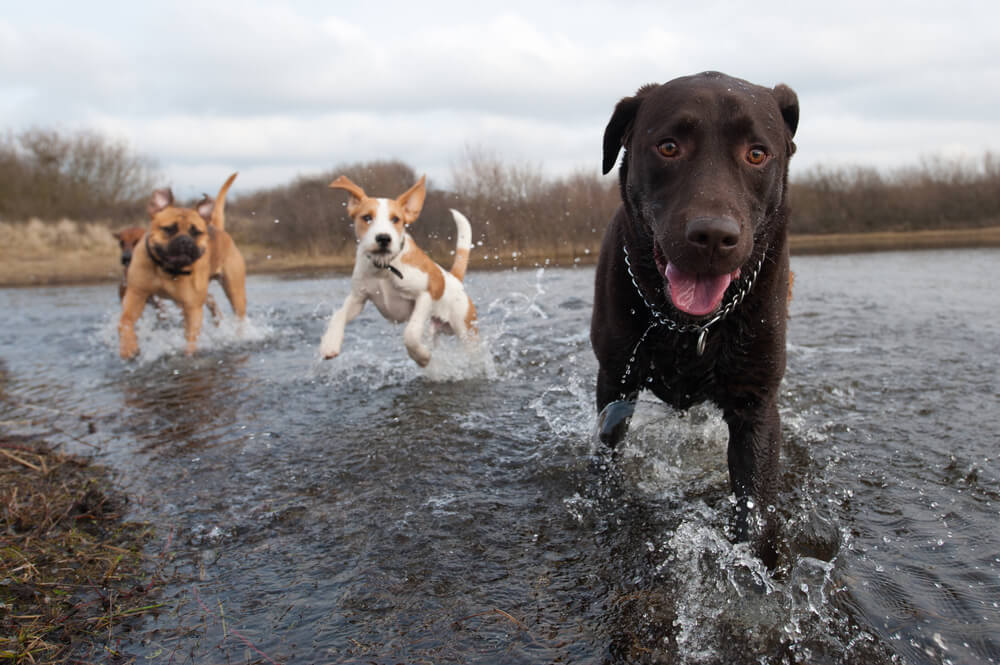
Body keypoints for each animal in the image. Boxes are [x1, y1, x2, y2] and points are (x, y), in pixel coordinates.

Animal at [117, 171, 248, 358]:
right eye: (169, 229)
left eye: (196, 232)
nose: (185, 241)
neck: (166, 269)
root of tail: (218, 229)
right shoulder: (136, 294)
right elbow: (125, 321)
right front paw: (128, 347)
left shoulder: (192, 308)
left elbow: (191, 338)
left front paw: (189, 355)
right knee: (211, 300)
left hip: (234, 292)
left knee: (239, 315)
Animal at [320, 174, 476, 366]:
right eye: (366, 217)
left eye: (396, 219)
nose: (383, 238)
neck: (384, 267)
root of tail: (454, 278)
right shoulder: (358, 297)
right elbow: (338, 314)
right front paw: (329, 343)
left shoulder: (424, 295)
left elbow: (410, 333)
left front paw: (421, 357)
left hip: (466, 331)